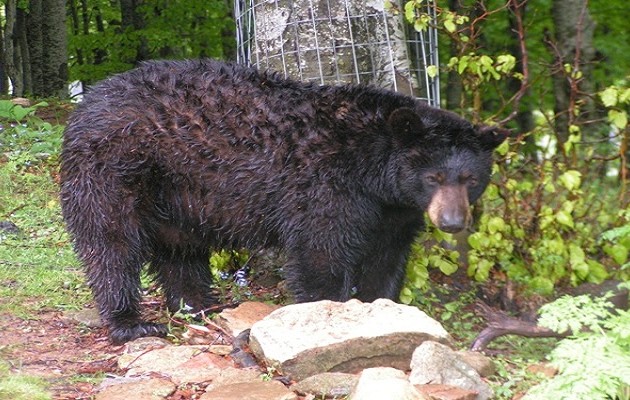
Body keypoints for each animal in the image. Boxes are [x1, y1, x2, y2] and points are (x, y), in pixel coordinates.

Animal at [60, 59, 508, 344]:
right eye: (433, 177)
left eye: (470, 179)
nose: (452, 221)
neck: (373, 171)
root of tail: (90, 100)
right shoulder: (328, 188)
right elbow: (321, 253)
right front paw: (326, 315)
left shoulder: (395, 213)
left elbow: (387, 259)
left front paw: (381, 310)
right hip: (115, 167)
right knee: (111, 243)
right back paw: (131, 323)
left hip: (177, 193)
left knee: (180, 249)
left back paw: (199, 305)